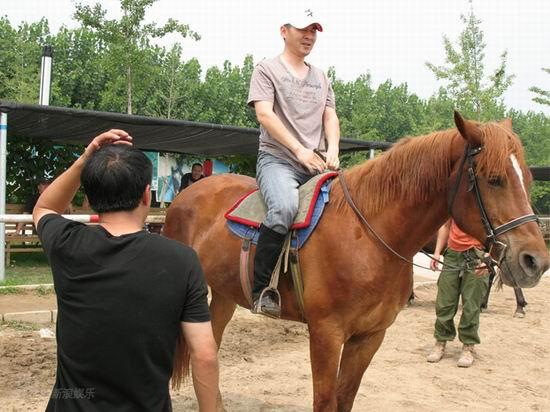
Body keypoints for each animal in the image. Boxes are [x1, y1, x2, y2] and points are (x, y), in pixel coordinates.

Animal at [166, 111, 548, 410]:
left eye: (528, 179)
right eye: (494, 179)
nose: (535, 261)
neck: (368, 234)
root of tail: (185, 197)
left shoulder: (369, 337)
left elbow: (345, 398)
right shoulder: (326, 335)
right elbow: (325, 400)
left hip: (223, 297)